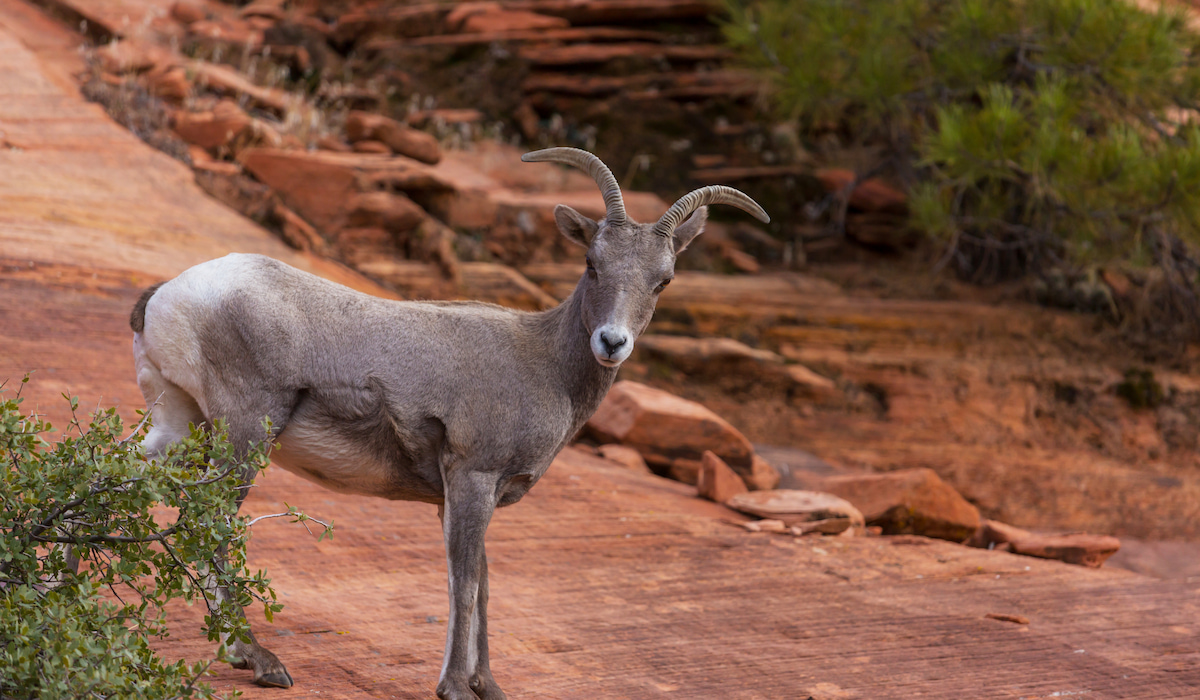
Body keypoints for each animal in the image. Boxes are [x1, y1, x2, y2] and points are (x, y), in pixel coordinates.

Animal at [129, 147, 768, 699]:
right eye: (592, 263)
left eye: (664, 280)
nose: (612, 343)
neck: (544, 364)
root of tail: (167, 296)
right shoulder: (471, 480)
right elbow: (463, 586)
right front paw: (456, 689)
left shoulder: (465, 497)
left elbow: (483, 586)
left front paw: (489, 687)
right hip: (244, 433)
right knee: (207, 521)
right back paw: (259, 662)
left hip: (178, 427)